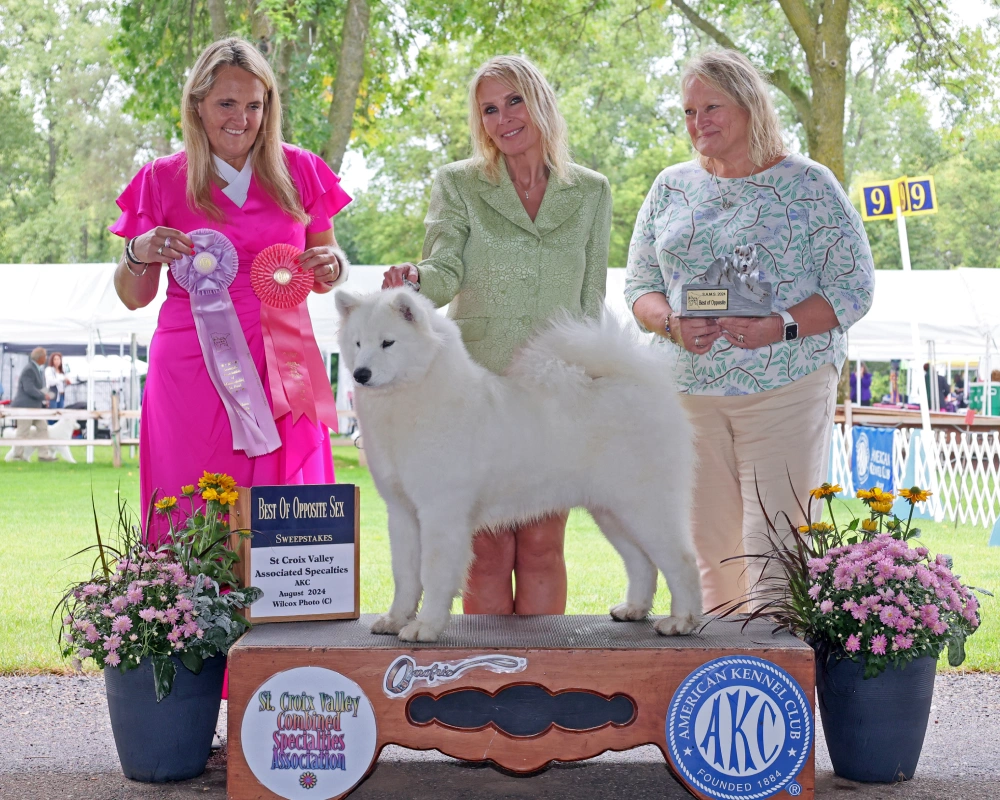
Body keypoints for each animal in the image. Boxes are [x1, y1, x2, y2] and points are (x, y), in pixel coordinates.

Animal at [340, 288, 700, 644]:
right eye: (357, 343)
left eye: (388, 342)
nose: (360, 374)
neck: (414, 398)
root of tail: (640, 384)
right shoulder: (402, 513)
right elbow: (404, 574)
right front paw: (394, 619)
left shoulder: (440, 513)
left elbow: (434, 573)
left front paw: (425, 626)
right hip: (611, 512)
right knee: (641, 562)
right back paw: (633, 609)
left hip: (643, 506)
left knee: (682, 560)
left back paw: (680, 621)